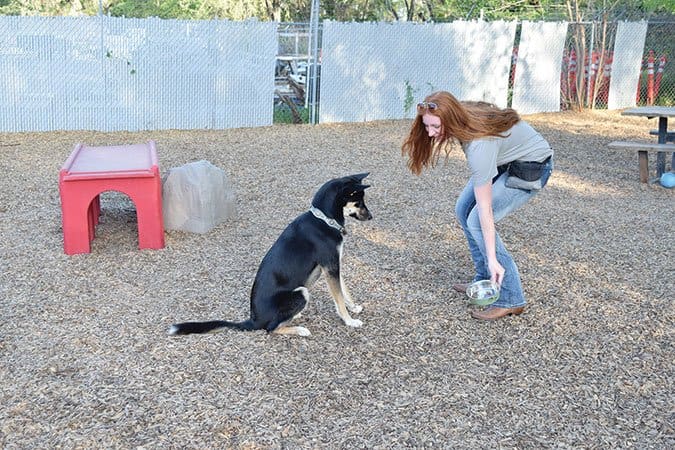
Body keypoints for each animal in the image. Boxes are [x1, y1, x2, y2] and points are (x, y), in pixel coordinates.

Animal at [168, 174, 370, 336]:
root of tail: (253, 320)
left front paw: (353, 307)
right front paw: (349, 321)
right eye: (358, 203)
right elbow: (339, 298)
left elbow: (345, 291)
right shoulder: (330, 265)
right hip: (300, 293)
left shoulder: (334, 265)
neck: (324, 219)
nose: (371, 217)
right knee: (270, 329)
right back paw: (299, 330)